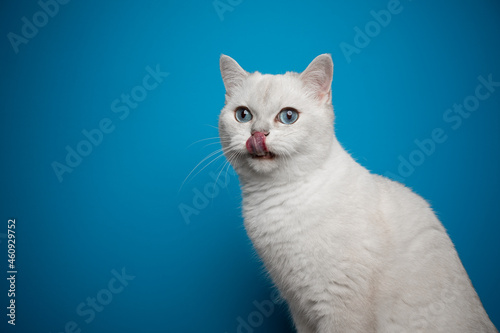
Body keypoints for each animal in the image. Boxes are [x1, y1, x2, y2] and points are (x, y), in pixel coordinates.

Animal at [218, 53, 496, 330]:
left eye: (288, 116)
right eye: (243, 115)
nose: (257, 134)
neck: (274, 197)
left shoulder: (338, 305)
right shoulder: (299, 308)